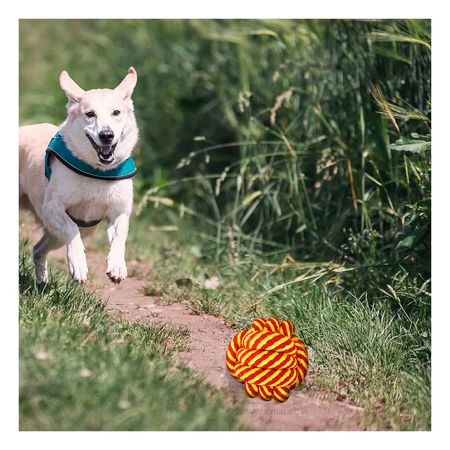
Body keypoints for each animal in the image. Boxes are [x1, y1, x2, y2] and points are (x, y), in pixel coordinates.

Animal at [19, 67, 139, 284]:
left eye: (116, 112)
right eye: (90, 114)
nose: (106, 135)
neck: (97, 171)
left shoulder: (119, 212)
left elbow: (120, 236)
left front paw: (117, 266)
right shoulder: (52, 208)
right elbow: (71, 228)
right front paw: (78, 264)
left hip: (58, 235)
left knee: (38, 249)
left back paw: (42, 282)